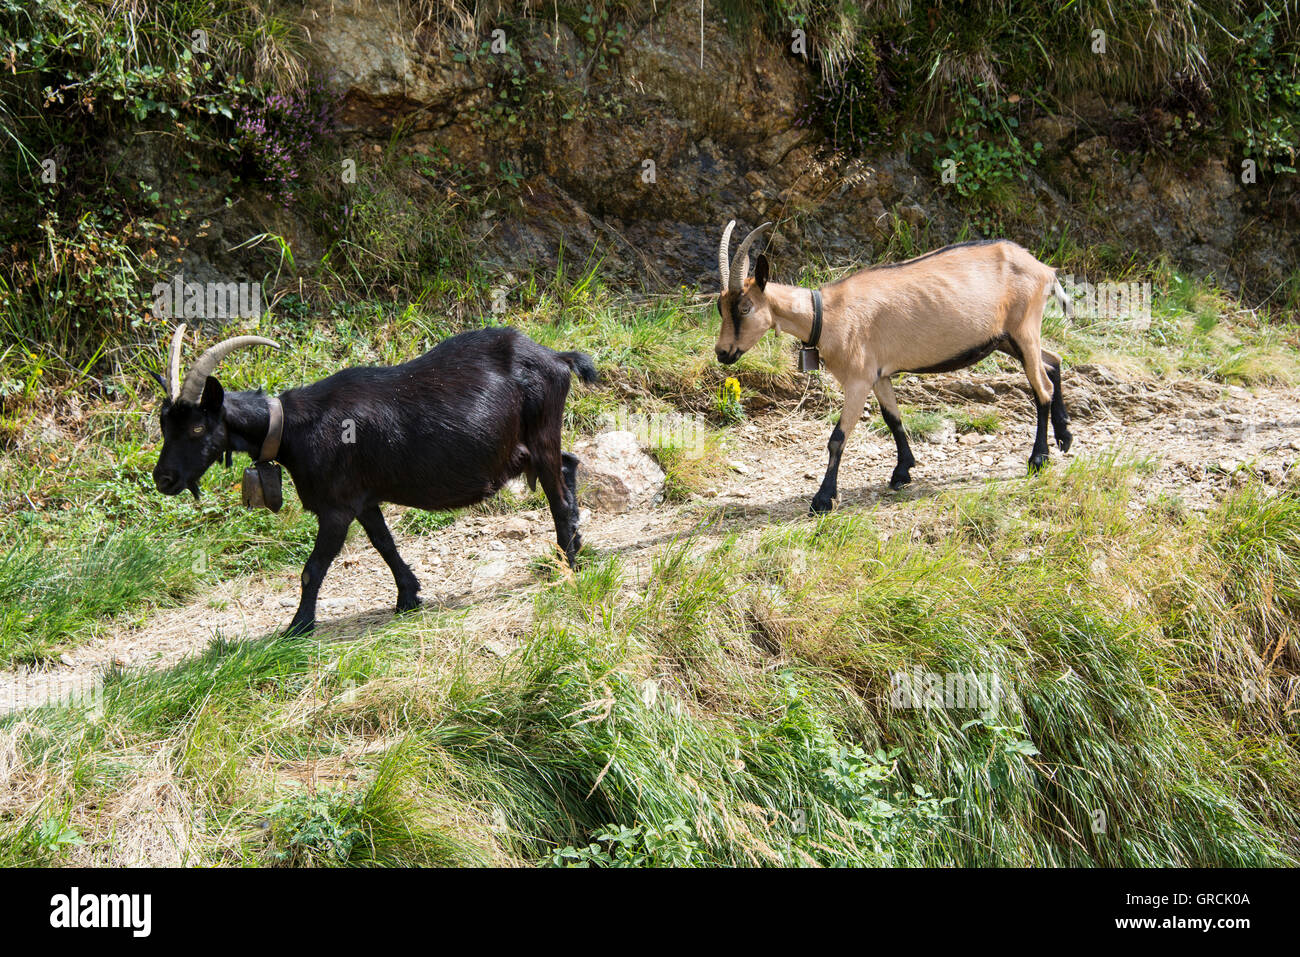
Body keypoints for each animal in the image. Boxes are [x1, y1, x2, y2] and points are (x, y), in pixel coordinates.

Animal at [152, 325, 598, 631]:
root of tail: (557, 357)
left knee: (557, 495)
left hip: (541, 433)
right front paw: (408, 597)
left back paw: (568, 565)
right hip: (524, 448)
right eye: (164, 425)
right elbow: (384, 544)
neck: (291, 427)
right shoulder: (363, 500)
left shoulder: (336, 507)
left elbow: (313, 568)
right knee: (568, 465)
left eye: (197, 428)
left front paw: (297, 627)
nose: (163, 479)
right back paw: (575, 545)